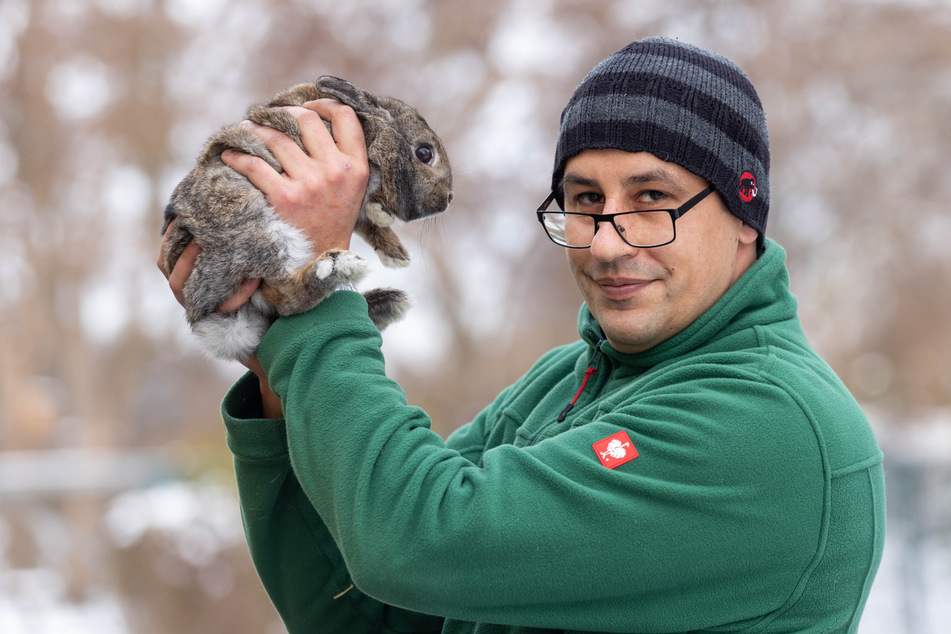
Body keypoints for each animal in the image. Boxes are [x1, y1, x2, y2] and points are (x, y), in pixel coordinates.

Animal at [159, 73, 454, 358]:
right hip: (258, 233)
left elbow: (367, 222)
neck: (370, 125)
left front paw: (396, 253)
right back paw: (335, 268)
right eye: (424, 153)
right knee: (285, 297)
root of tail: (202, 311)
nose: (448, 198)